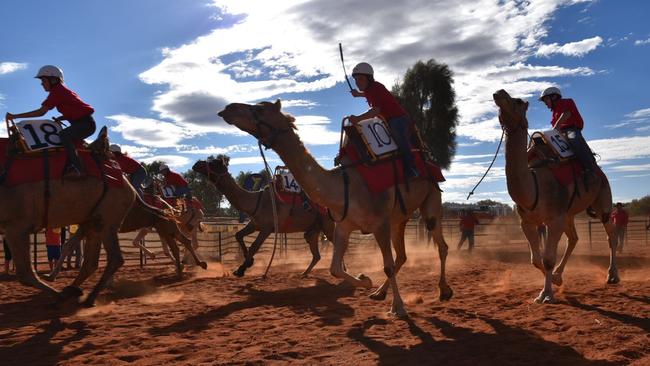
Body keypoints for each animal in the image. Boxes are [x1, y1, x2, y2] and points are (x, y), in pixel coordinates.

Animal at [0, 127, 135, 304]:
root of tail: (130, 187)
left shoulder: (16, 226)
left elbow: (26, 275)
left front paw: (60, 296)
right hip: (93, 221)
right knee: (90, 262)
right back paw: (73, 289)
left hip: (108, 219)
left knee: (114, 258)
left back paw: (87, 297)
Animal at [46, 193, 204, 282]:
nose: (196, 223)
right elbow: (68, 246)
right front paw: (52, 275)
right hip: (174, 227)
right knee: (186, 241)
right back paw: (191, 262)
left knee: (187, 241)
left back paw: (191, 262)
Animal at [191, 157, 334, 278]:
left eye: (213, 163)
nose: (196, 164)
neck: (256, 202)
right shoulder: (255, 224)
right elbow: (238, 235)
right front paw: (249, 261)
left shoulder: (267, 228)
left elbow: (254, 246)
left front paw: (241, 269)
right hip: (314, 229)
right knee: (316, 254)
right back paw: (304, 273)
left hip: (328, 225)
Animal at [218, 99, 450, 314]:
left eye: (260, 109)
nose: (228, 108)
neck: (344, 187)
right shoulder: (343, 226)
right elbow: (335, 268)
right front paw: (365, 280)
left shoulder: (379, 224)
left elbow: (388, 266)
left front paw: (398, 307)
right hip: (399, 219)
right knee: (402, 255)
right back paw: (379, 293)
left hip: (430, 200)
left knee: (440, 244)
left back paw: (444, 291)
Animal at [494, 89, 616, 304]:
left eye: (517, 101)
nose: (499, 93)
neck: (534, 184)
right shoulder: (527, 222)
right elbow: (536, 260)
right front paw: (555, 282)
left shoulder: (554, 219)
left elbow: (548, 259)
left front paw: (546, 294)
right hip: (569, 214)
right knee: (574, 239)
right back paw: (560, 275)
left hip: (602, 200)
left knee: (611, 234)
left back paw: (612, 276)